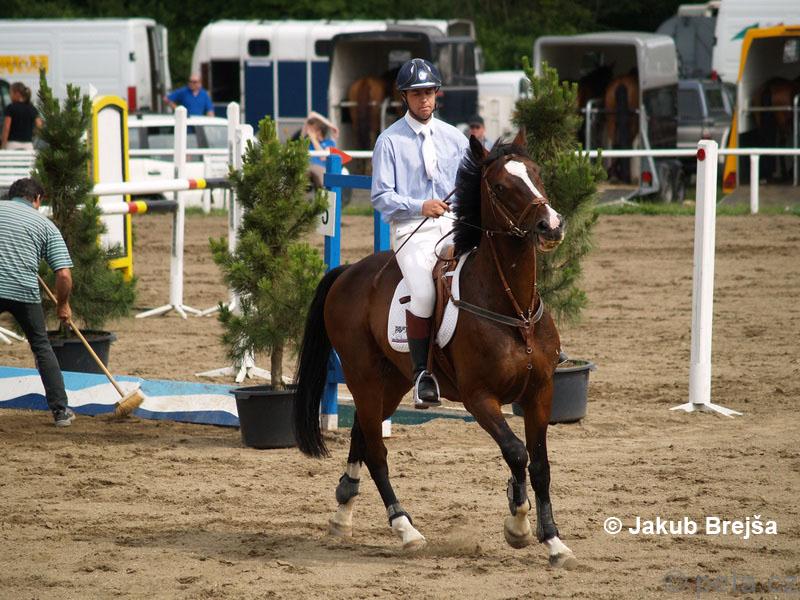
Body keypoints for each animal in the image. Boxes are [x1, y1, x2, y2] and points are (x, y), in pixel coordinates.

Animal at [293, 129, 576, 568]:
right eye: (499, 187)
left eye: (535, 173)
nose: (551, 226)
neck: (513, 307)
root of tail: (349, 272)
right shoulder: (480, 398)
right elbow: (516, 452)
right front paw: (517, 523)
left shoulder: (539, 393)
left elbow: (540, 463)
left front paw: (553, 541)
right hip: (364, 378)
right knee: (377, 451)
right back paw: (404, 528)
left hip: (391, 383)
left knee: (363, 434)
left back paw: (343, 511)